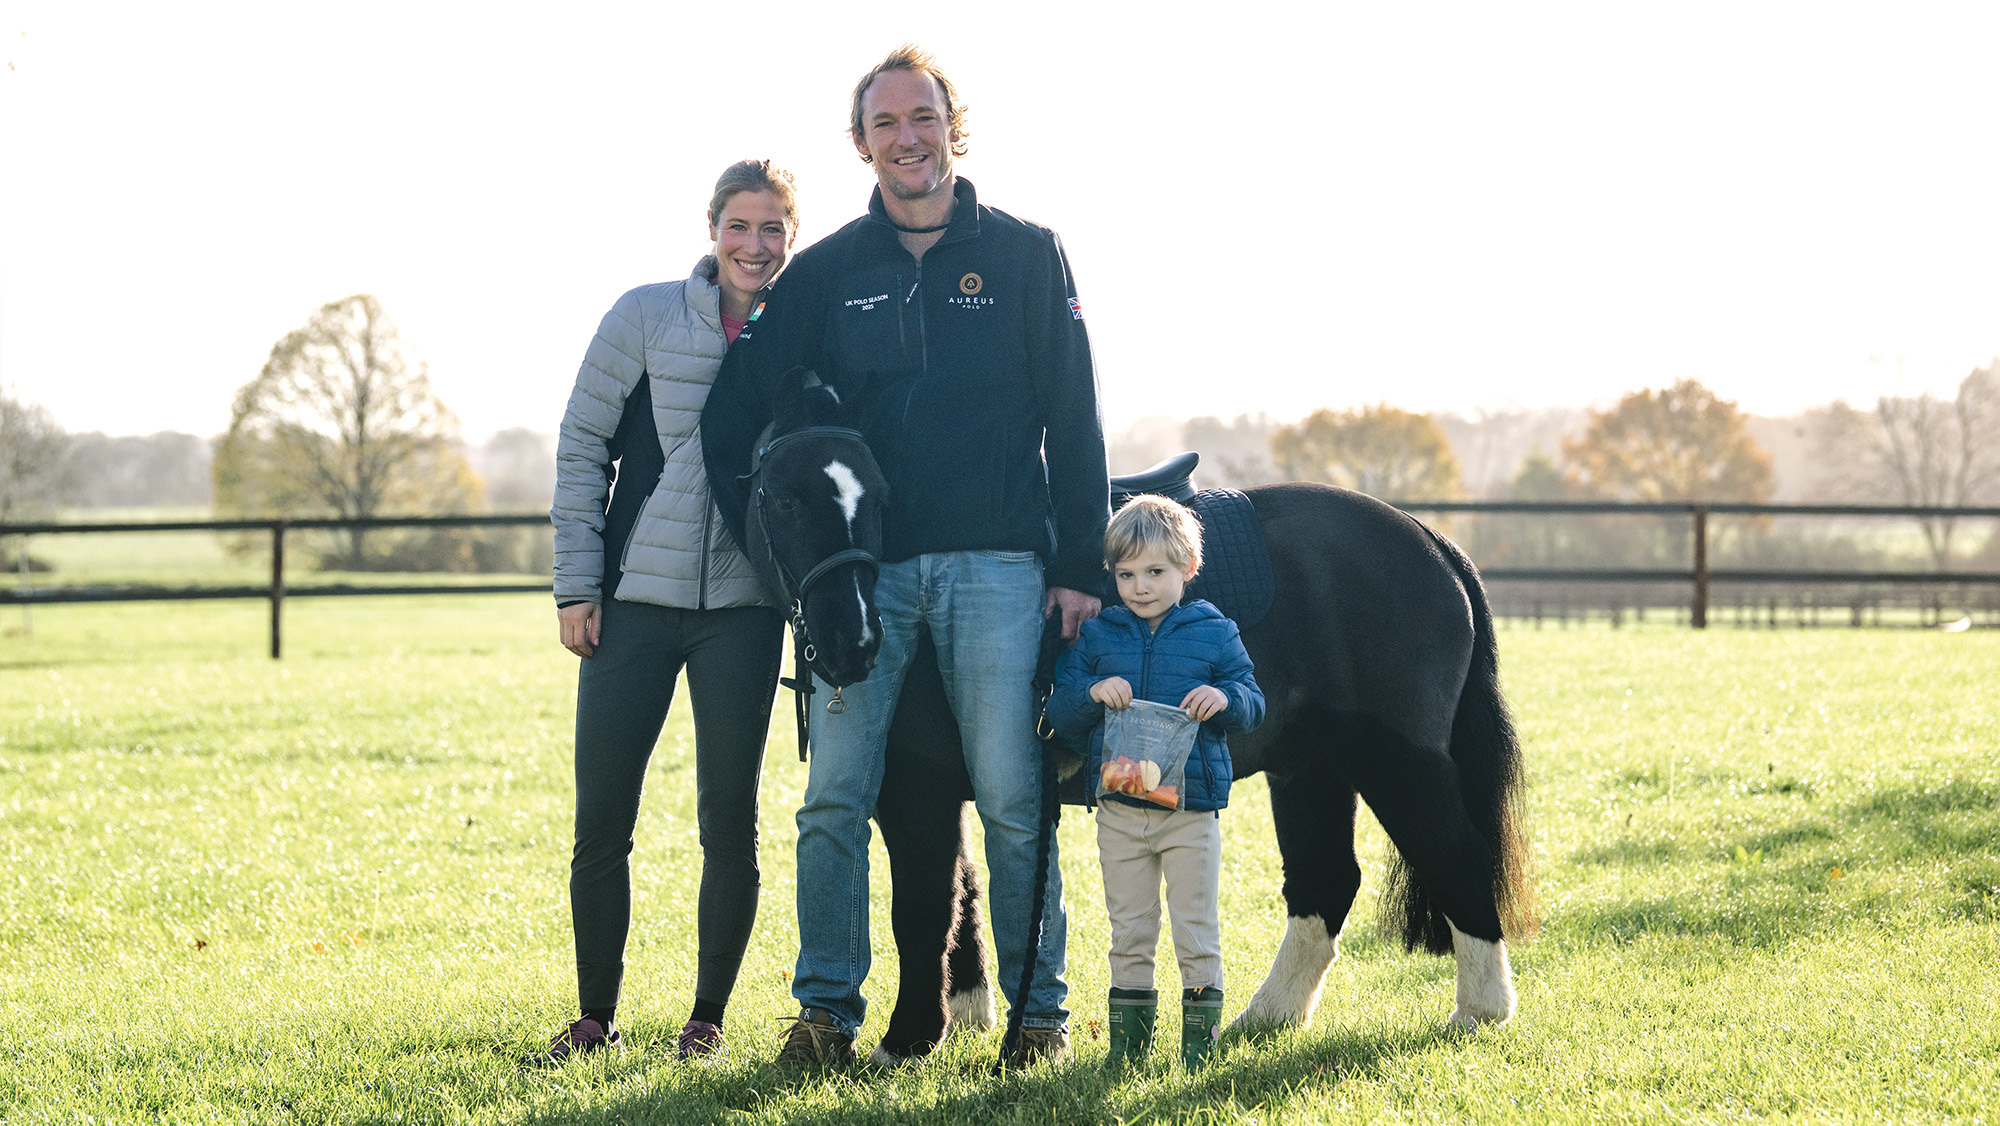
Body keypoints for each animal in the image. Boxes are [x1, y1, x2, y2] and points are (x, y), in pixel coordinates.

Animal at [743, 369, 1531, 1064]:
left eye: (875, 497)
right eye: (781, 500)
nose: (852, 638)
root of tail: (1429, 541)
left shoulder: (917, 788)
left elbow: (924, 908)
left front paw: (908, 1040)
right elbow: (964, 898)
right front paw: (963, 1017)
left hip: (1396, 761)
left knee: (1457, 859)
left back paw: (1481, 1013)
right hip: (1311, 769)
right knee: (1326, 883)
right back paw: (1264, 1018)